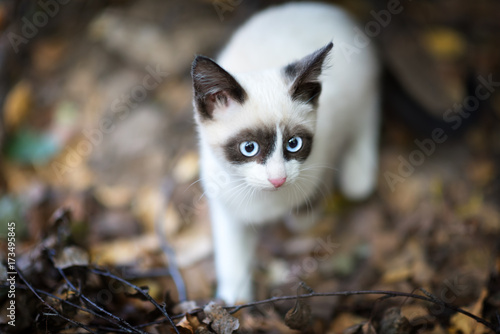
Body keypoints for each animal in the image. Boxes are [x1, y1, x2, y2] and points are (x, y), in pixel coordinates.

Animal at [191, 1, 378, 302]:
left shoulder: (326, 147)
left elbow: (312, 196)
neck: (263, 201)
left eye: (294, 144)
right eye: (249, 148)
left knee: (367, 117)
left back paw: (358, 177)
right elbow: (232, 257)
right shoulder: (225, 206)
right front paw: (234, 301)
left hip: (361, 91)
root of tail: (326, 8)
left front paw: (303, 217)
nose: (278, 179)